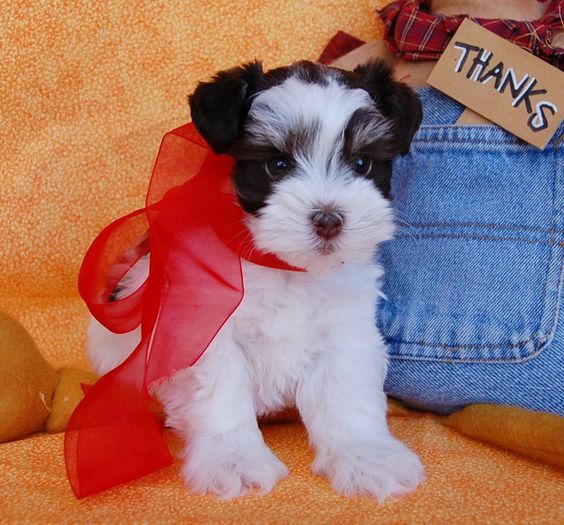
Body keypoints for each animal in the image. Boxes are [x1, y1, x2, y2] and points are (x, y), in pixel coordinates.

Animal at [88, 58, 424, 500]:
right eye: (277, 165)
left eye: (362, 163)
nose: (329, 219)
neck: (284, 266)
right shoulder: (206, 330)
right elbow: (221, 394)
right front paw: (233, 459)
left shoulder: (344, 332)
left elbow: (348, 395)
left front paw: (367, 457)